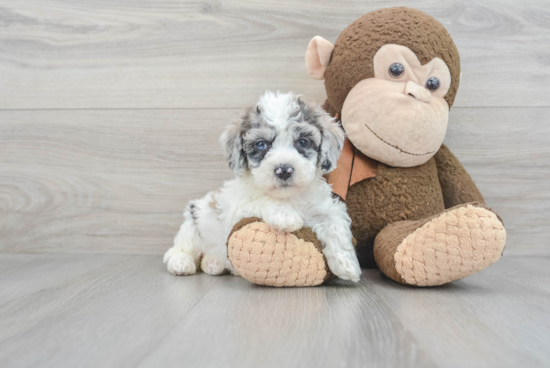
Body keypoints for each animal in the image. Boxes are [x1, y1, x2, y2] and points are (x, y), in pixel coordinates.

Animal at [162, 91, 364, 282]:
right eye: (261, 144)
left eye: (302, 142)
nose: (284, 170)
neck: (288, 197)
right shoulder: (240, 208)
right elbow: (262, 199)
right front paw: (285, 215)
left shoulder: (324, 208)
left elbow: (335, 225)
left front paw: (347, 265)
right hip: (194, 220)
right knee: (180, 248)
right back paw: (181, 263)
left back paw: (214, 263)